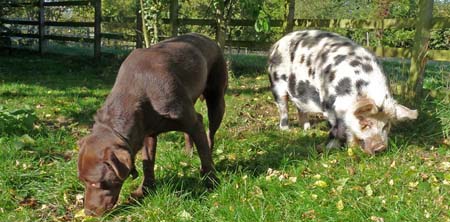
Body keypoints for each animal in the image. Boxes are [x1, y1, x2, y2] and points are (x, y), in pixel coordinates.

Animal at [77, 33, 229, 216]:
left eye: (95, 183)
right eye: (82, 180)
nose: (88, 212)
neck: (138, 91)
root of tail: (209, 39)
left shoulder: (193, 121)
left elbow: (204, 155)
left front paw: (211, 182)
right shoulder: (146, 131)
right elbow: (147, 163)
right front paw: (144, 190)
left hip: (216, 100)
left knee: (210, 134)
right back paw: (187, 153)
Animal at [268, 29, 418, 154]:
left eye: (386, 125)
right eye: (364, 123)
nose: (380, 148)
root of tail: (276, 44)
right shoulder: (328, 105)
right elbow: (335, 129)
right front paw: (331, 149)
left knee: (300, 108)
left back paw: (307, 129)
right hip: (276, 84)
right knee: (283, 108)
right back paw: (286, 130)